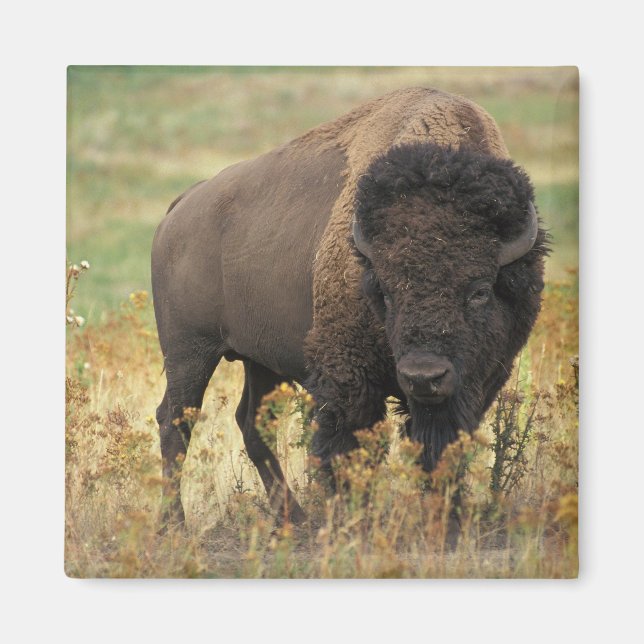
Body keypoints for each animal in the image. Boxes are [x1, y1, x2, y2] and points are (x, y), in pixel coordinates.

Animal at [151, 87, 547, 527]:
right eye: (386, 292)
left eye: (479, 290)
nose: (423, 376)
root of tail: (181, 207)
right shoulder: (349, 378)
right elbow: (348, 449)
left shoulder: (477, 382)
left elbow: (442, 448)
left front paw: (447, 519)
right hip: (189, 352)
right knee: (175, 420)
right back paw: (174, 524)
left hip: (260, 360)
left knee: (251, 423)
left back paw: (294, 519)